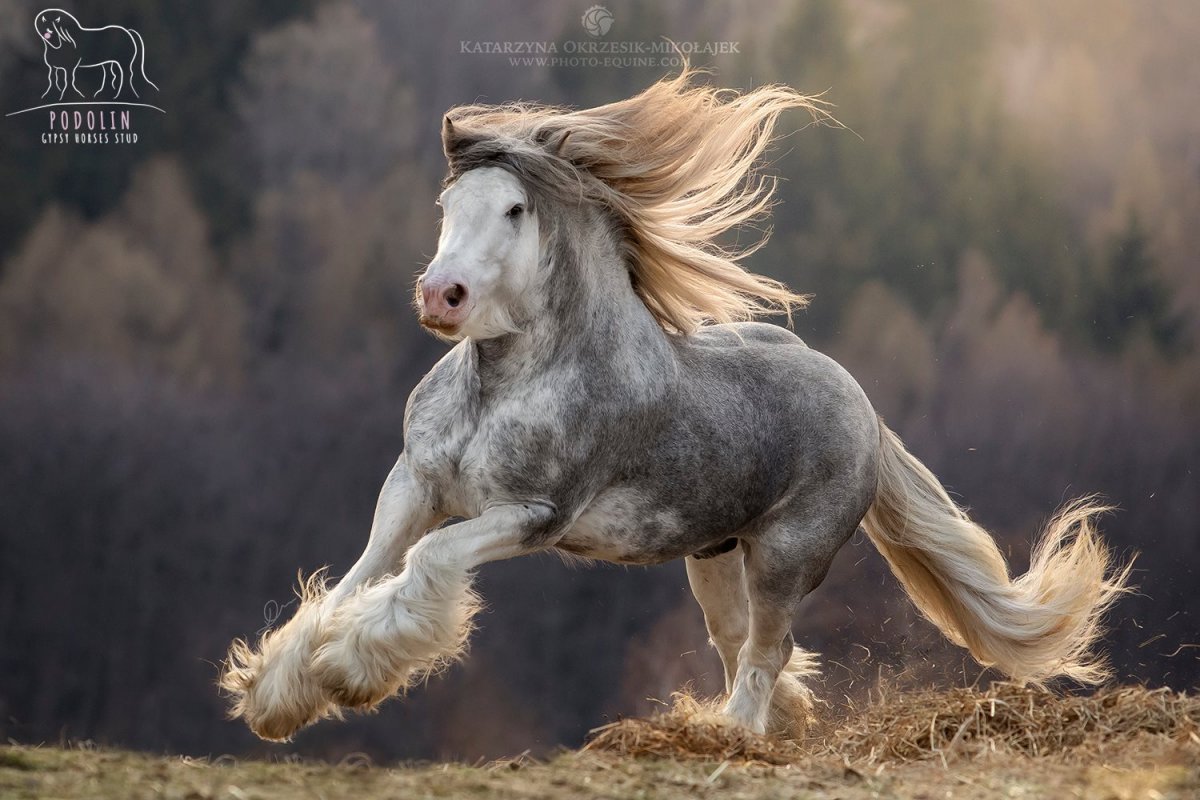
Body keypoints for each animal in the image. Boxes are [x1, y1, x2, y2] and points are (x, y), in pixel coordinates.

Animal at [220, 71, 1132, 742]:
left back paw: (731, 733)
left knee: (768, 648)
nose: (441, 296)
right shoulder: (413, 485)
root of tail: (859, 402)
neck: (500, 385)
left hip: (787, 556)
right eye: (447, 208)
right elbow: (356, 577)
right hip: (713, 555)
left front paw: (347, 674)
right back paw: (768, 719)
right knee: (741, 643)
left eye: (514, 209)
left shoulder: (532, 514)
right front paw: (277, 695)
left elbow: (428, 565)